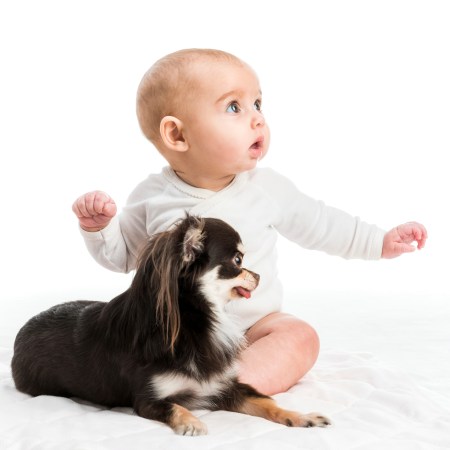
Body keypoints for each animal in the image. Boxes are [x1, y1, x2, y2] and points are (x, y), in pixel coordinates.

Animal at [12, 215, 330, 435]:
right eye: (238, 260)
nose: (259, 276)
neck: (199, 319)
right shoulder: (148, 400)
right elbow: (175, 406)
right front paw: (192, 423)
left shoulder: (223, 388)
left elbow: (267, 402)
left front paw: (300, 416)